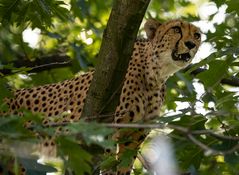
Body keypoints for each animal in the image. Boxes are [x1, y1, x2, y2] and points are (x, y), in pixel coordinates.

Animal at [0, 18, 201, 174]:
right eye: (176, 29)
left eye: (197, 35)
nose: (191, 44)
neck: (156, 74)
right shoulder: (106, 125)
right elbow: (108, 157)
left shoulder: (135, 134)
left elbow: (125, 162)